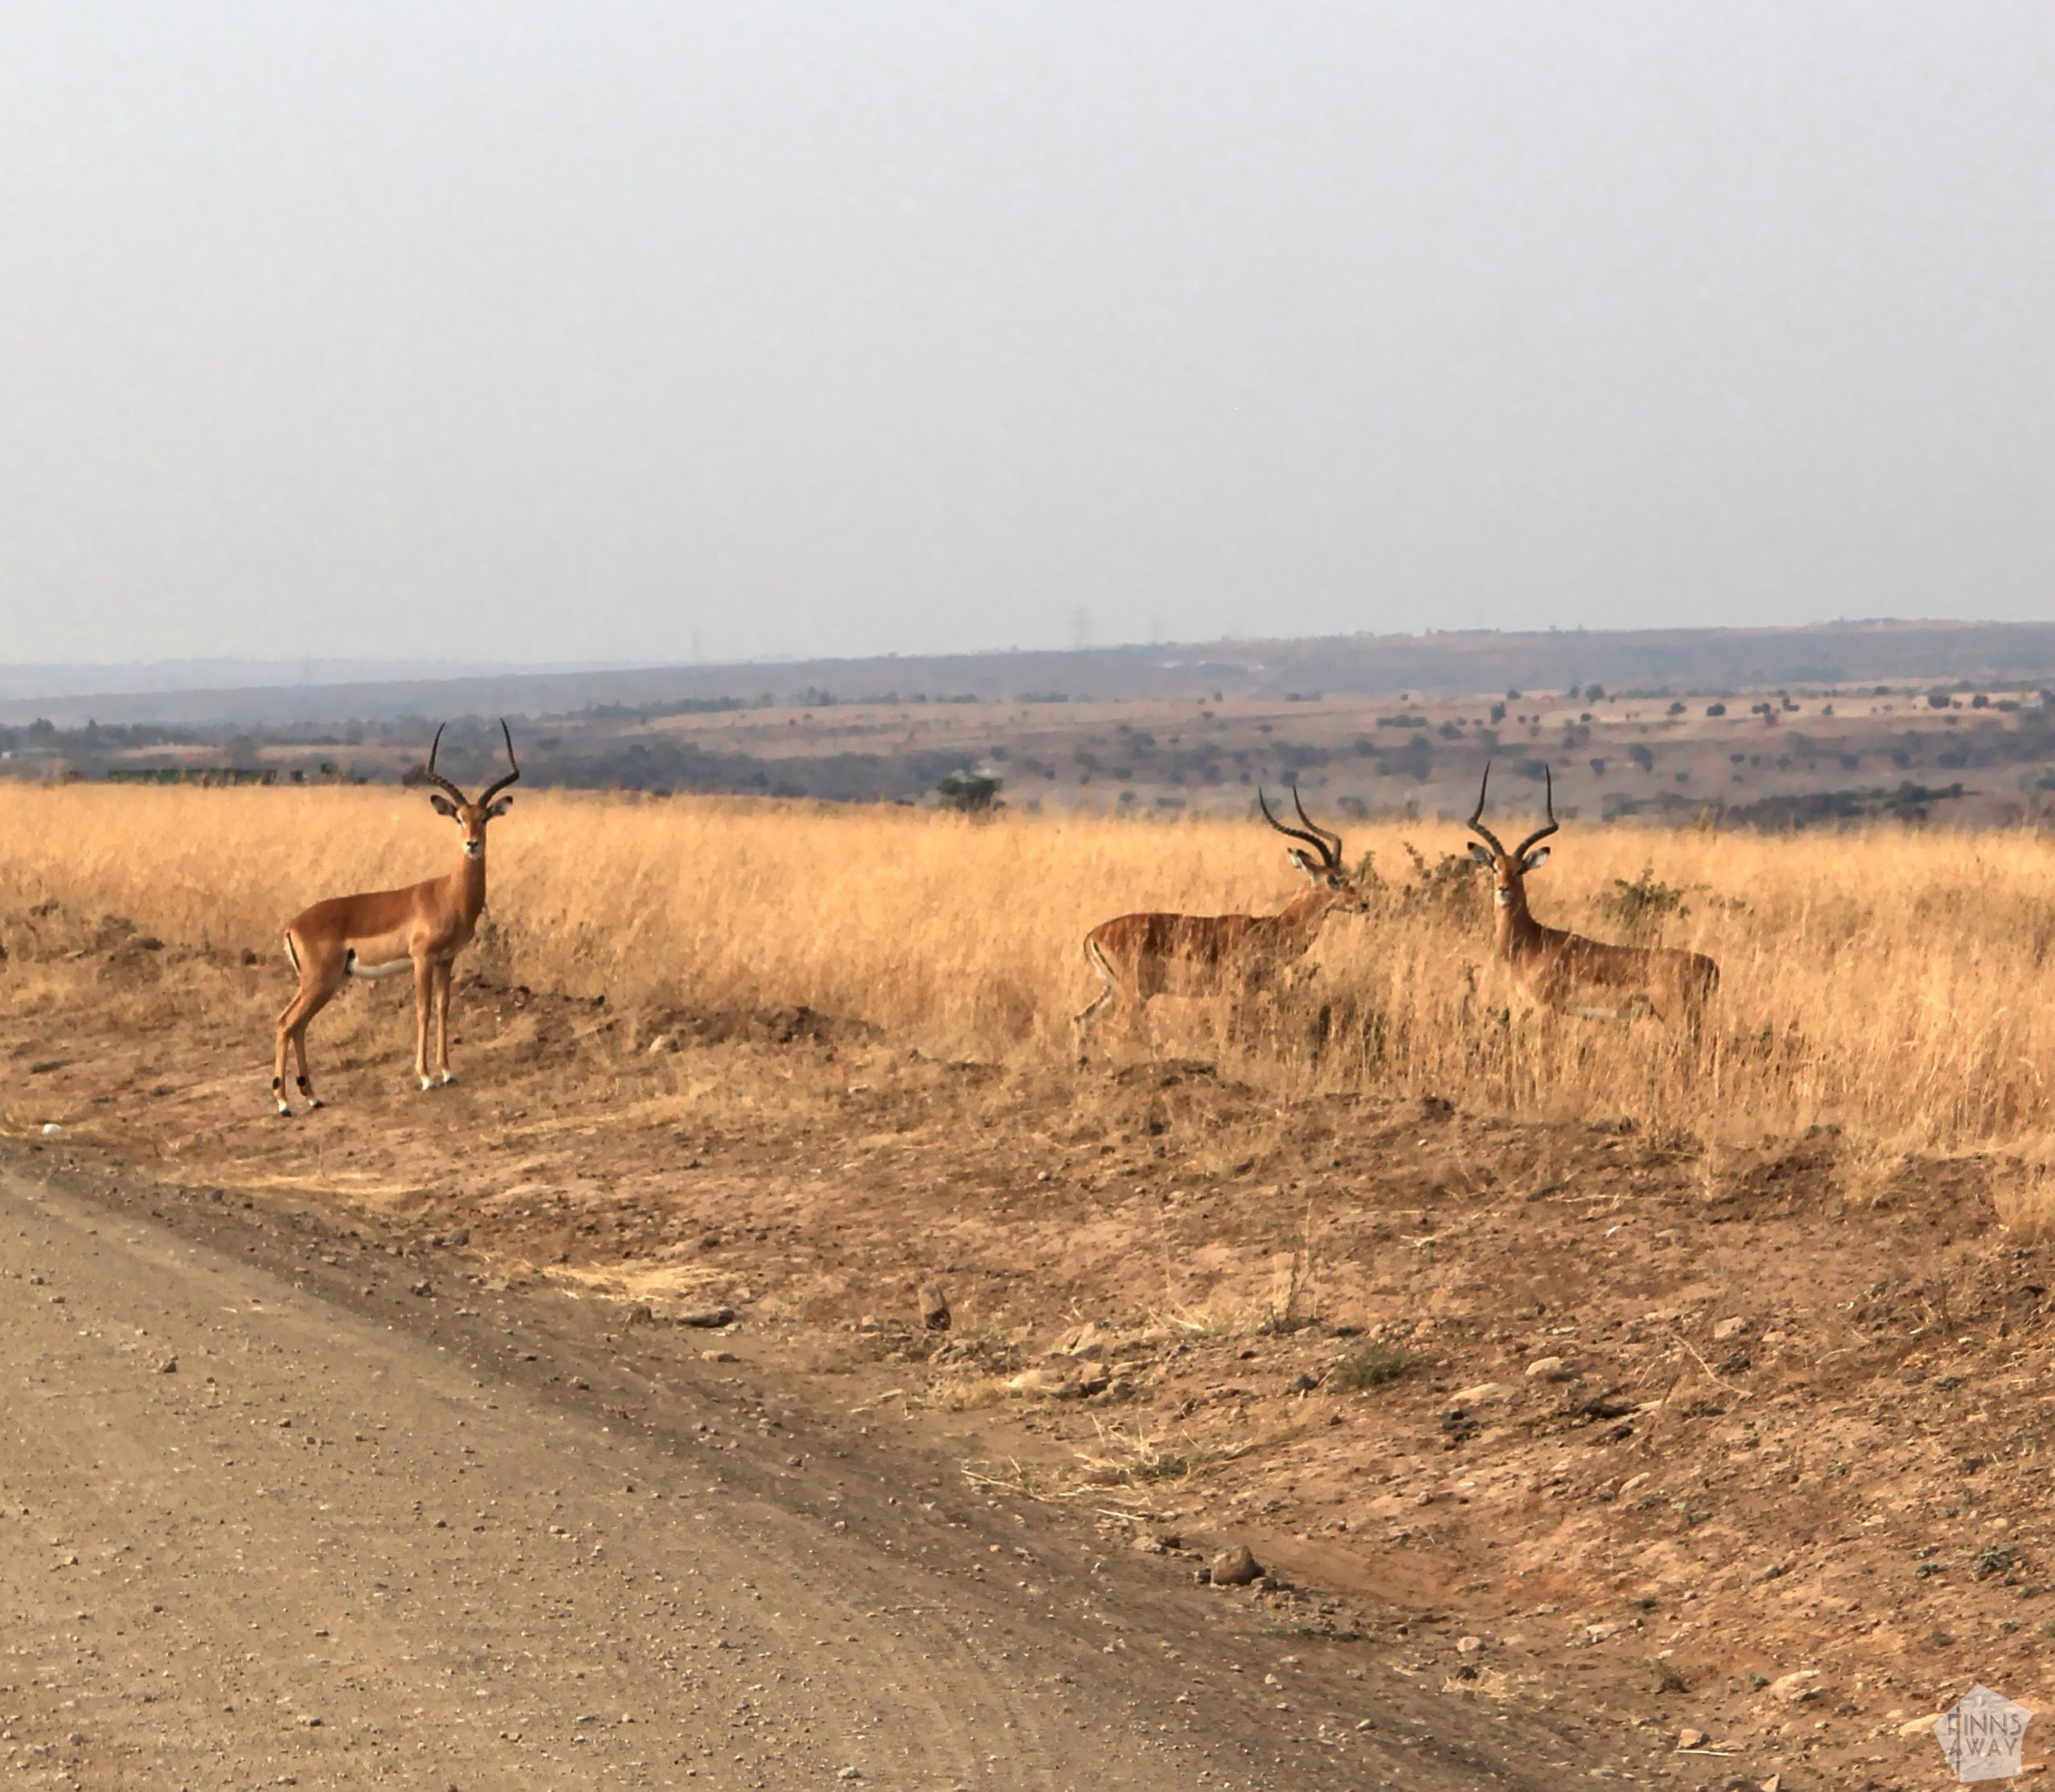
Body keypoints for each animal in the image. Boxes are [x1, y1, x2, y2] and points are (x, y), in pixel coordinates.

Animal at [271, 720, 521, 1115]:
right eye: (459, 818)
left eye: (484, 818)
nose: (472, 844)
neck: (449, 893)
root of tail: (293, 925)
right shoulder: (422, 958)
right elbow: (423, 1010)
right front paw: (426, 1077)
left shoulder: (447, 959)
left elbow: (444, 1009)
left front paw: (448, 1072)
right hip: (319, 981)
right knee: (285, 1024)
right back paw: (283, 1103)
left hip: (326, 982)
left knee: (297, 1026)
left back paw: (312, 1096)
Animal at [1074, 788, 1371, 1060]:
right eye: (1334, 879)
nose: (1363, 904)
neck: (1272, 928)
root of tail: (1093, 935)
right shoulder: (1238, 991)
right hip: (1134, 994)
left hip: (1115, 991)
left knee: (1082, 1019)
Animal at [1464, 762, 1717, 1026]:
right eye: (1495, 867)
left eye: (1520, 870)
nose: (1504, 889)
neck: (1532, 942)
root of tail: (1710, 965)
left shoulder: (1547, 1009)